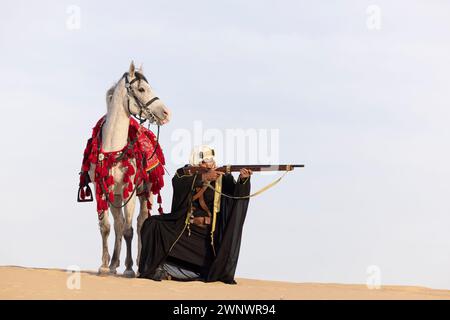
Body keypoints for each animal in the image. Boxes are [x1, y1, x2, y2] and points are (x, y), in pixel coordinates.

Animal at [87, 61, 171, 276]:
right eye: (141, 89)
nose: (166, 113)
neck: (113, 147)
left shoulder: (130, 190)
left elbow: (129, 230)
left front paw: (130, 268)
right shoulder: (102, 190)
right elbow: (106, 227)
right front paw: (104, 266)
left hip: (147, 192)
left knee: (141, 222)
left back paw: (140, 265)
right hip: (116, 196)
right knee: (118, 224)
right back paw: (114, 263)